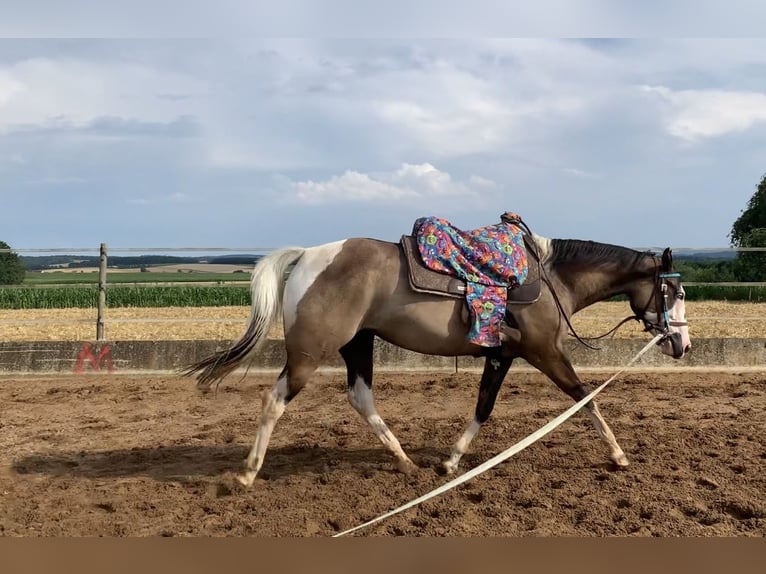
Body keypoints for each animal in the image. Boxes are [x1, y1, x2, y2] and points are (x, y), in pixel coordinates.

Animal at [186, 219, 691, 487]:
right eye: (675, 293)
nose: (683, 344)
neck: (551, 279)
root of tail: (308, 255)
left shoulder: (502, 355)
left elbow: (484, 406)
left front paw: (450, 460)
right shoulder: (544, 351)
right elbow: (585, 396)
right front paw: (619, 455)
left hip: (358, 344)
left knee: (361, 398)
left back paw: (404, 460)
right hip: (311, 353)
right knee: (274, 401)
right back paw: (248, 473)